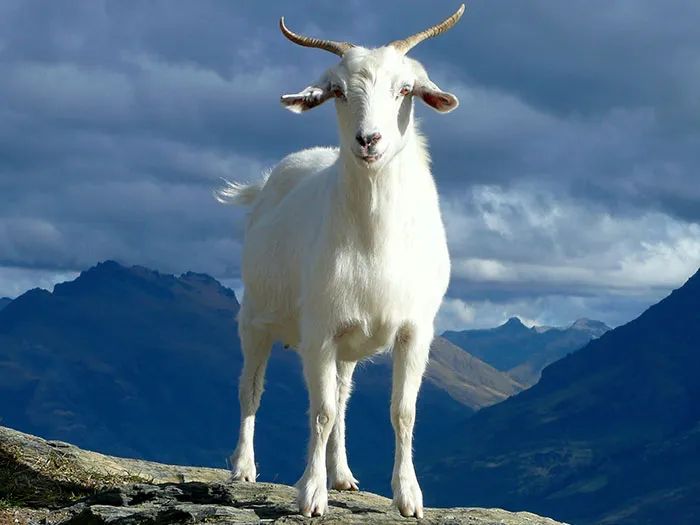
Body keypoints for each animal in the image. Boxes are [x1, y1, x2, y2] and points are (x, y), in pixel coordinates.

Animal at [216, 4, 464, 518]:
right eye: (339, 92)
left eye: (404, 89)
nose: (369, 140)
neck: (375, 240)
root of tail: (265, 184)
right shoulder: (319, 331)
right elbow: (321, 412)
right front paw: (311, 495)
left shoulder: (415, 331)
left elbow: (401, 411)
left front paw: (409, 497)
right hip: (255, 319)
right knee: (251, 389)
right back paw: (244, 467)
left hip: (349, 344)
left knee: (344, 398)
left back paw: (343, 475)